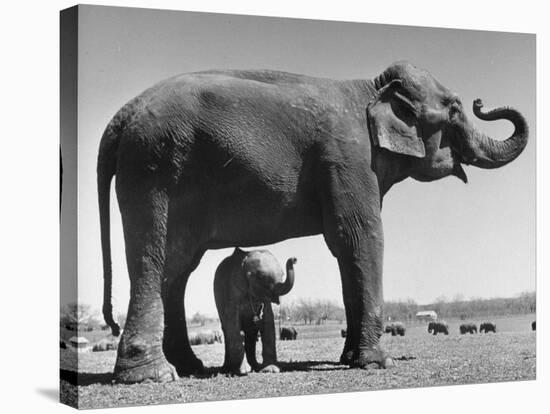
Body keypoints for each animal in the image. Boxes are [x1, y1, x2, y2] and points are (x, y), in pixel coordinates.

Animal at [99, 60, 532, 382]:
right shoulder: (348, 158)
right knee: (154, 260)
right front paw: (378, 362)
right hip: (153, 170)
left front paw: (350, 359)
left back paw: (190, 367)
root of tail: (121, 116)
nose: (480, 100)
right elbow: (361, 237)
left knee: (178, 268)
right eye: (454, 108)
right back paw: (154, 375)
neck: (371, 88)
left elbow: (345, 246)